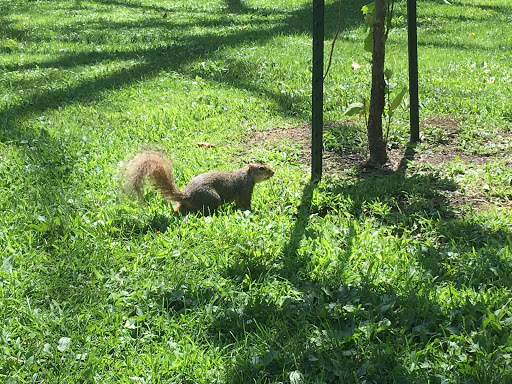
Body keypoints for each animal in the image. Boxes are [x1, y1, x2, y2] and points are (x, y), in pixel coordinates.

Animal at [121, 150, 274, 214]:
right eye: (261, 168)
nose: (273, 172)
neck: (246, 175)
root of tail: (188, 195)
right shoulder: (245, 189)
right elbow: (245, 203)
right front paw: (253, 211)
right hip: (213, 198)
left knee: (179, 208)